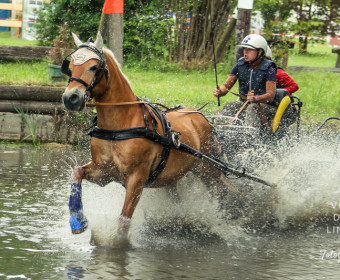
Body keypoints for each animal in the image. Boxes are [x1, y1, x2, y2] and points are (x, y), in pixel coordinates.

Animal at [61, 31, 228, 244]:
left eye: (93, 67)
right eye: (70, 67)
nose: (70, 98)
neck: (121, 125)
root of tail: (199, 116)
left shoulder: (137, 179)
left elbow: (124, 220)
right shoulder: (104, 171)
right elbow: (77, 172)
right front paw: (77, 220)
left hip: (208, 169)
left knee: (219, 191)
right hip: (172, 178)